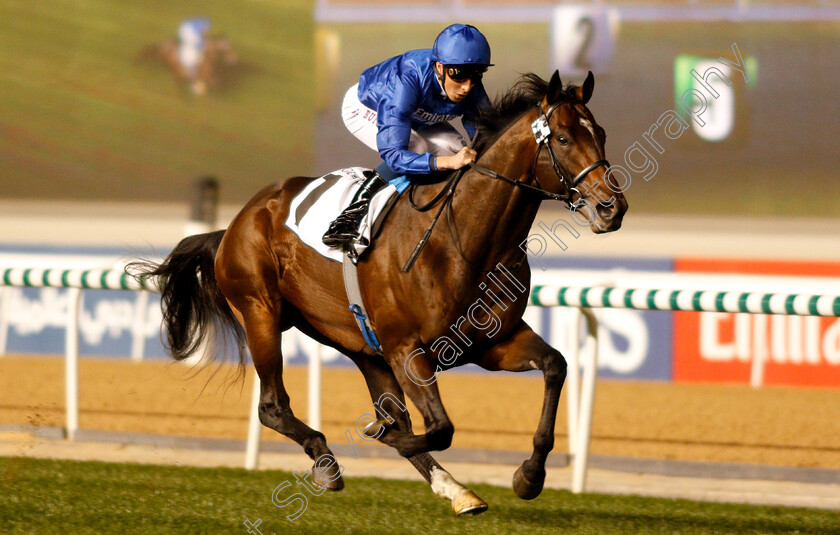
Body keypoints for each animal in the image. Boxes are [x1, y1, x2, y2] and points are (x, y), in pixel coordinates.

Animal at [131, 71, 628, 516]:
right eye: (562, 138)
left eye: (601, 133)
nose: (612, 208)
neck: (466, 239)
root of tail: (239, 220)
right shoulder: (408, 348)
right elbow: (439, 427)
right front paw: (385, 437)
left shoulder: (490, 342)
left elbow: (555, 366)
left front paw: (529, 476)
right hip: (261, 312)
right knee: (272, 406)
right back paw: (329, 462)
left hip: (355, 341)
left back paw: (454, 489)